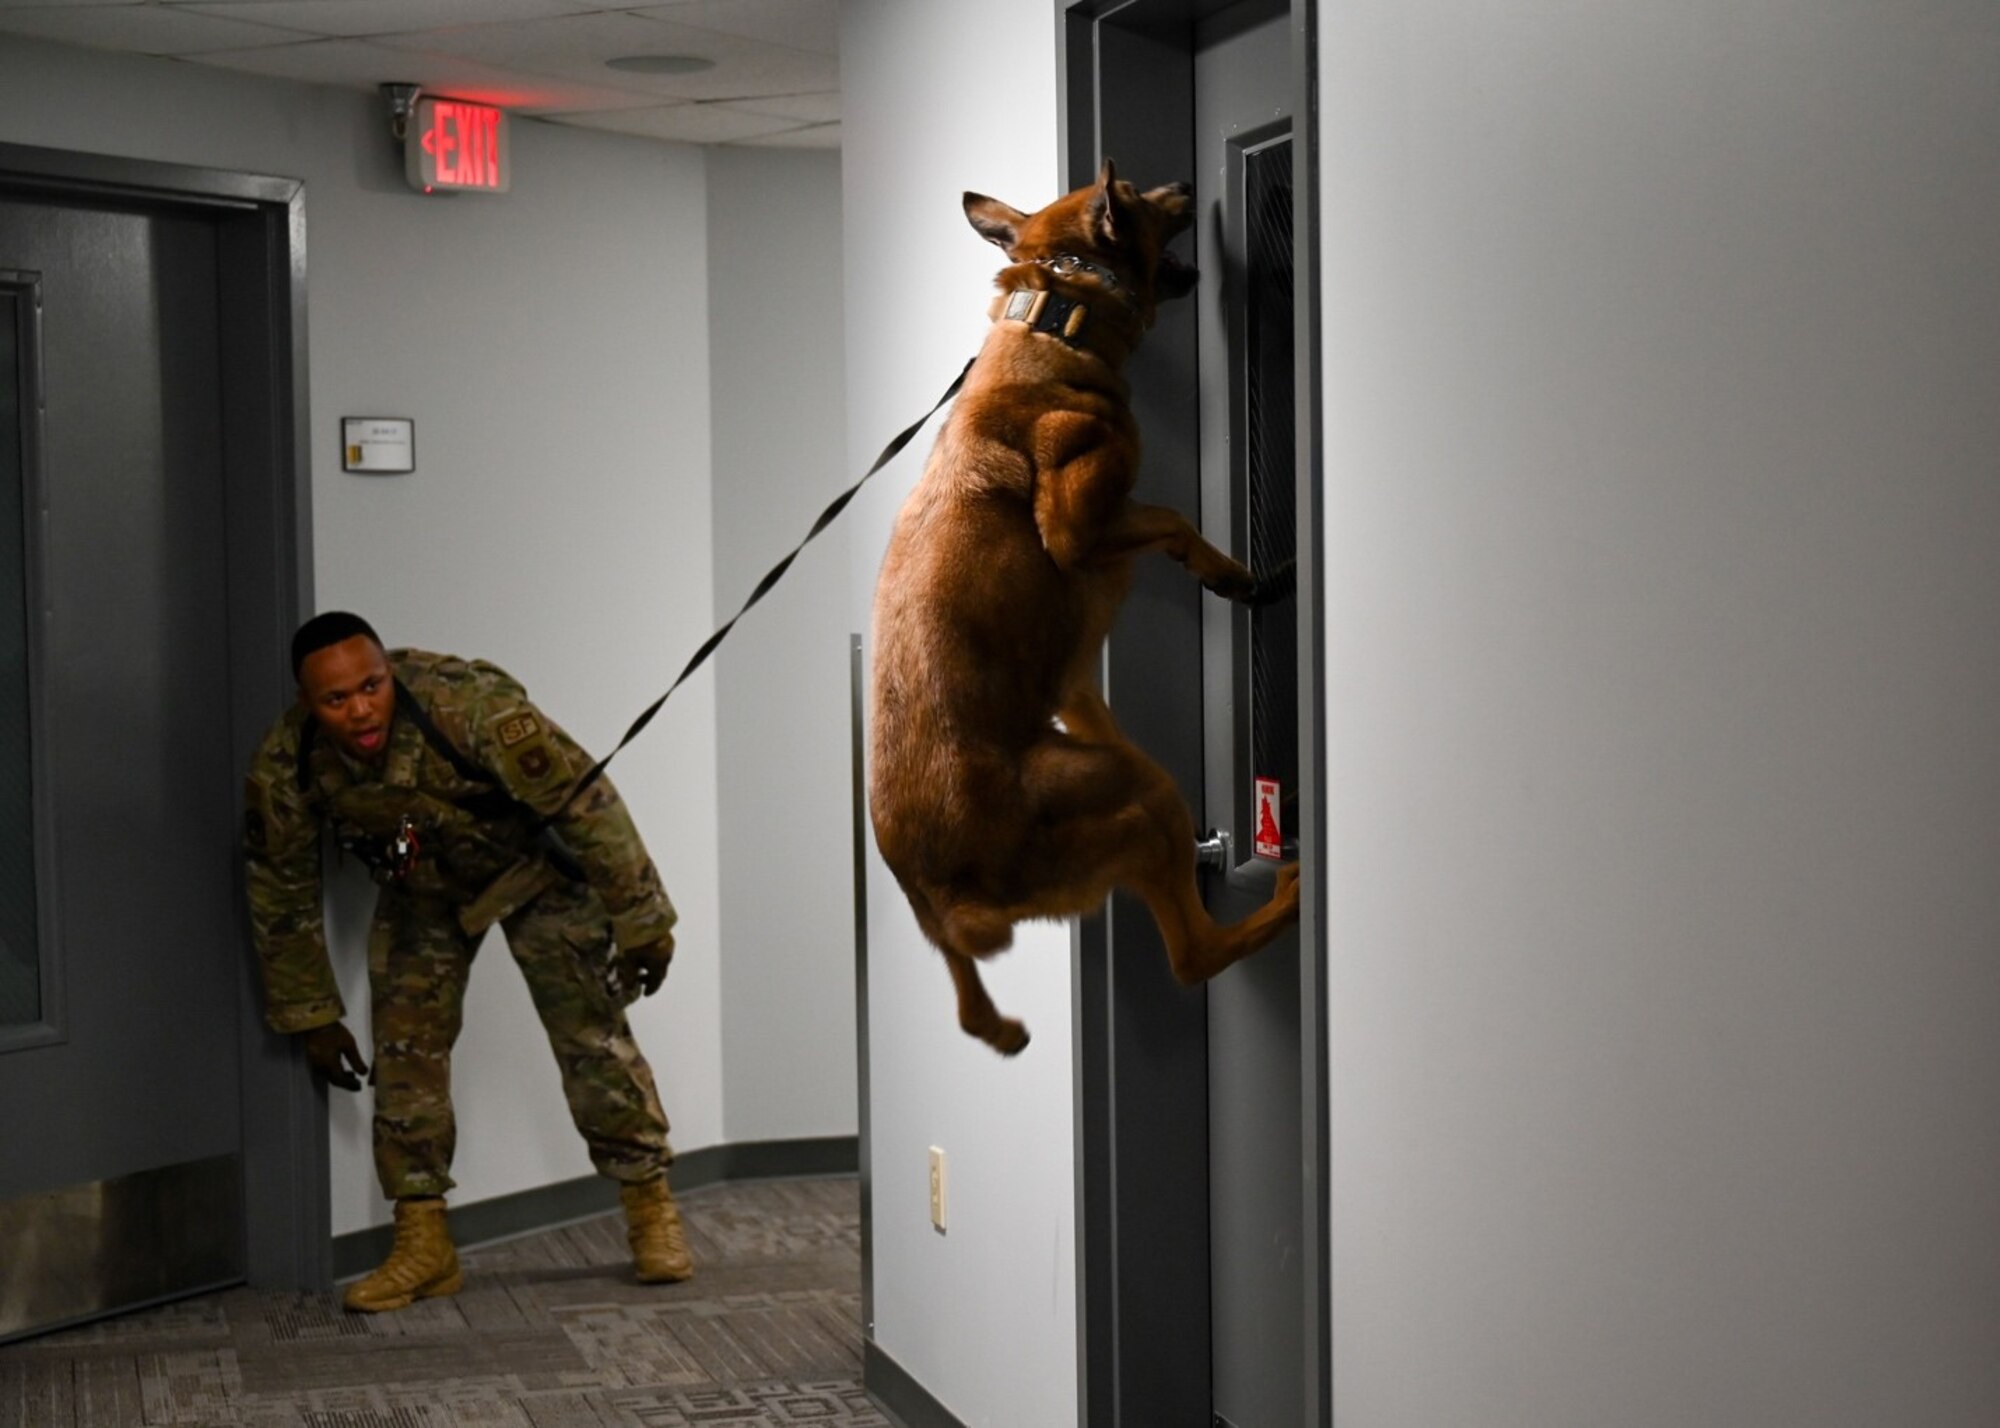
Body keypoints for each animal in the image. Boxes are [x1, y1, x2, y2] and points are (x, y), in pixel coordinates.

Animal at [872, 164, 1304, 1056]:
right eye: (1136, 195)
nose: (1183, 183)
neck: (1055, 319)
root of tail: (954, 896)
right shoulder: (1076, 524)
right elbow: (1172, 517)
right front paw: (1235, 576)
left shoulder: (1073, 674)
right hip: (1140, 798)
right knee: (1195, 957)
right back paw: (1286, 901)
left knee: (970, 1011)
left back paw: (999, 1027)